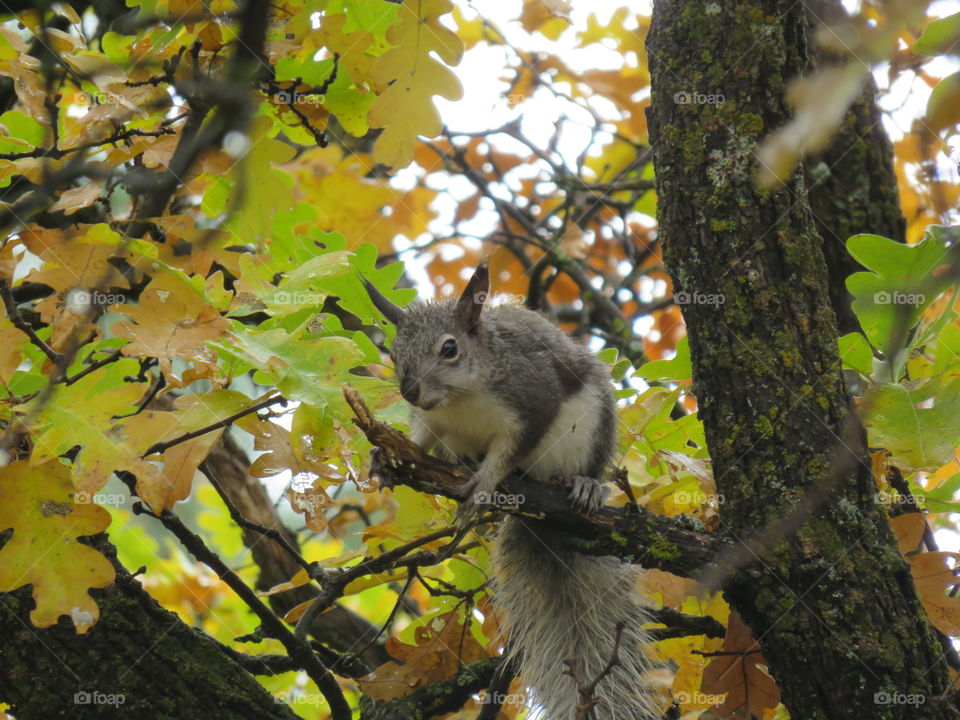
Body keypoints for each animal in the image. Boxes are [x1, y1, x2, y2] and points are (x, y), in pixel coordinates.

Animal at [365, 262, 661, 720]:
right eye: (394, 354)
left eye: (449, 348)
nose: (410, 391)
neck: (461, 400)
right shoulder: (433, 422)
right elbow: (420, 441)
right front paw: (388, 457)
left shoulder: (532, 401)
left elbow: (508, 453)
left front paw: (485, 484)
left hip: (591, 426)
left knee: (579, 467)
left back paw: (583, 485)